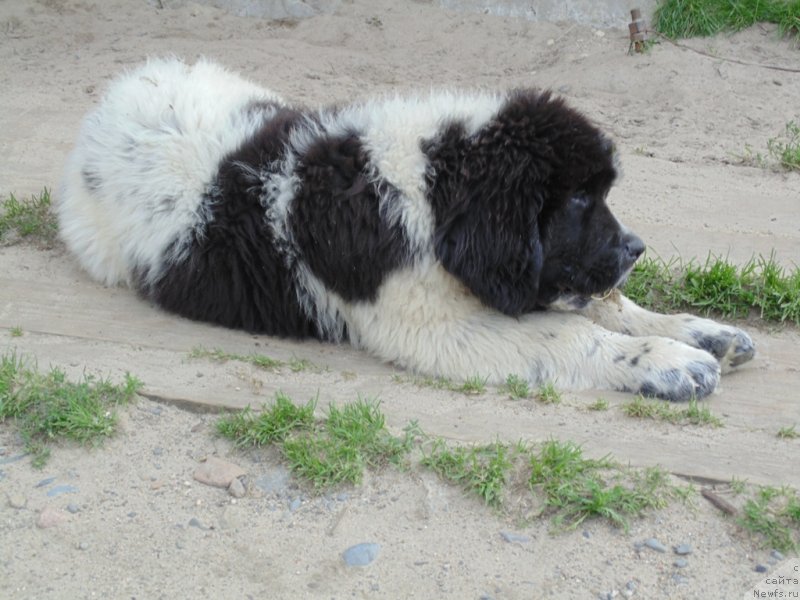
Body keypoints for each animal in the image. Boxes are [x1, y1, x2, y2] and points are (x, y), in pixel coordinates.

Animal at [59, 57, 752, 404]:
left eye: (602, 194)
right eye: (580, 198)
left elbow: (604, 306)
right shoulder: (433, 323)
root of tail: (111, 98)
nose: (636, 248)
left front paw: (698, 331)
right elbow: (567, 334)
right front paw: (671, 363)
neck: (432, 188)